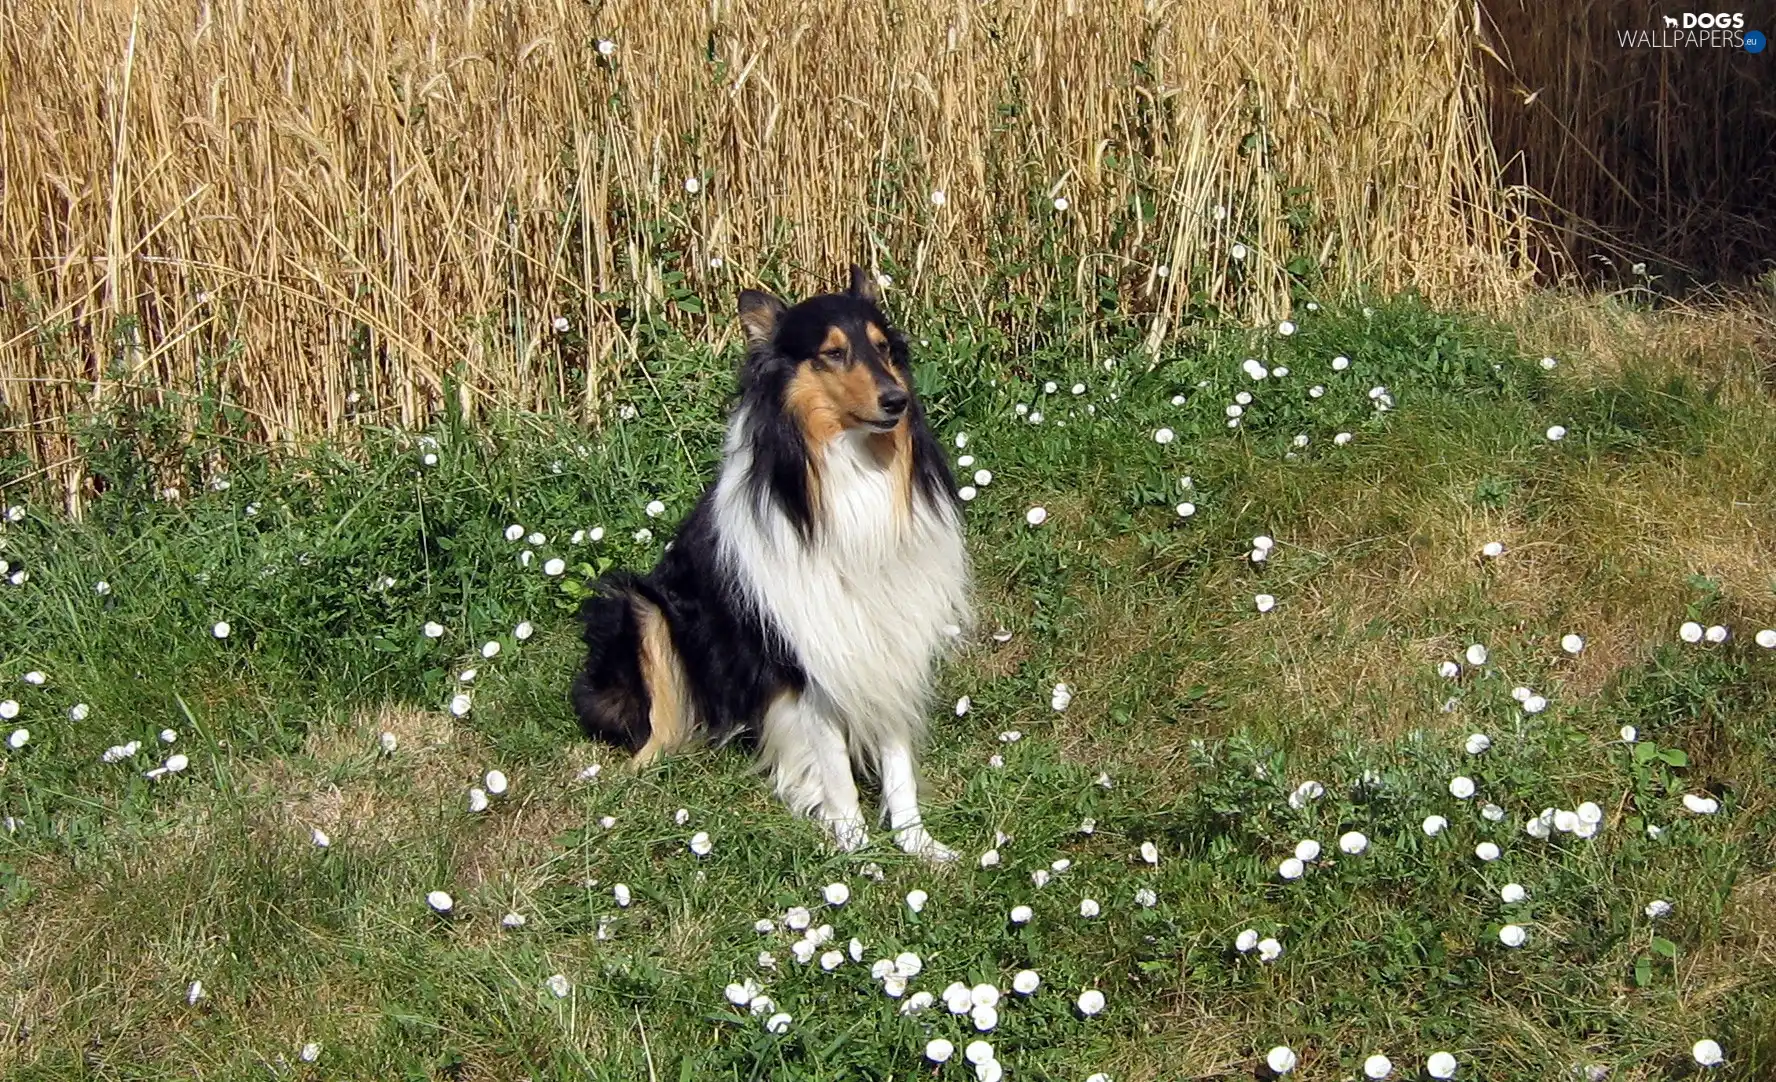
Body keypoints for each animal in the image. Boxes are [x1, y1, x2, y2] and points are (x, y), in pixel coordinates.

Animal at [571, 268, 973, 859]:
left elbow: (896, 755)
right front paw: (856, 847)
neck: (852, 471)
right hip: (639, 606)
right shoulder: (803, 650)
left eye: (883, 349)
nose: (896, 400)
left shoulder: (887, 632)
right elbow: (832, 763)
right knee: (655, 737)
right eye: (832, 353)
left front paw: (917, 843)